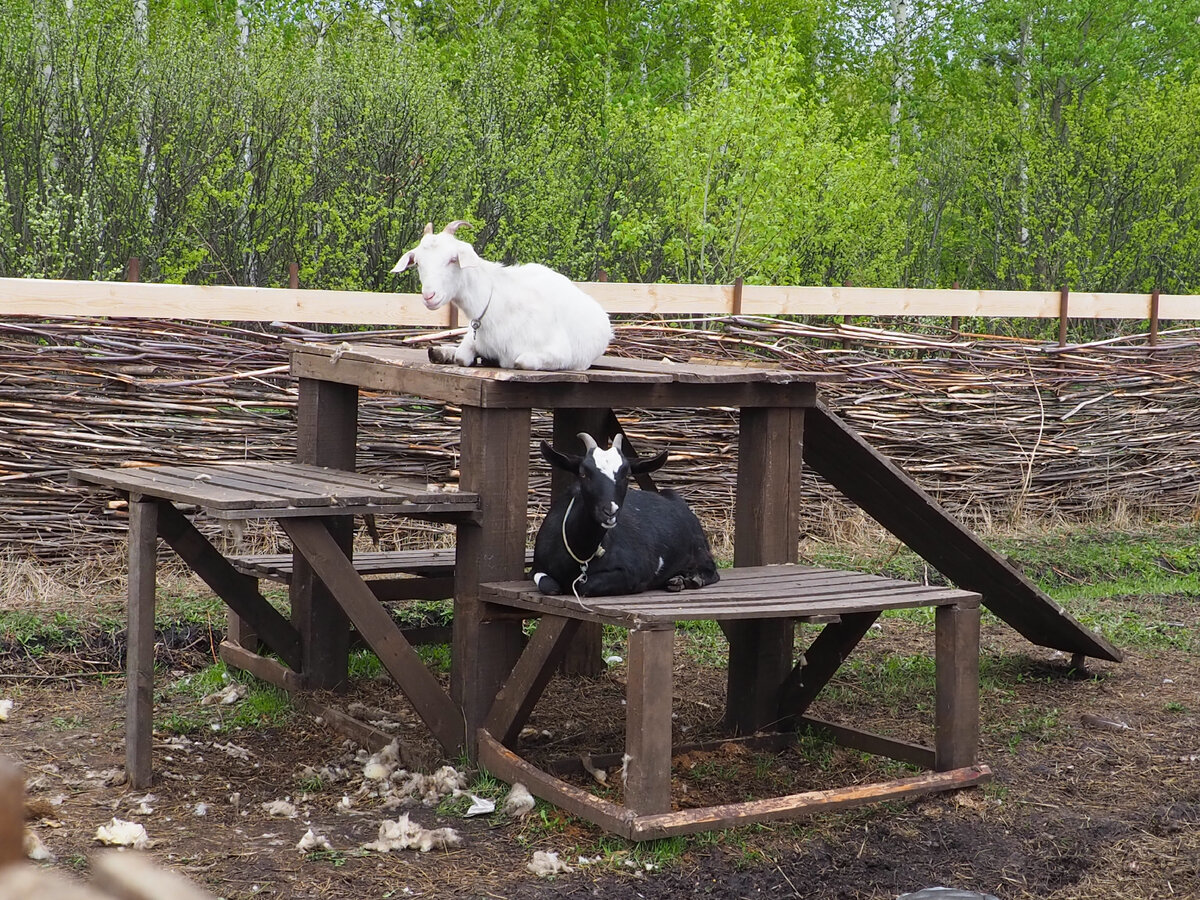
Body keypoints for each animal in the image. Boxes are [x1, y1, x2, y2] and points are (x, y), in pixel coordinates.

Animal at [393, 220, 614, 372]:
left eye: (453, 259)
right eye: (418, 262)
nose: (429, 296)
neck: (495, 304)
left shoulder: (559, 353)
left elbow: (521, 361)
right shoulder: (473, 337)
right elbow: (462, 356)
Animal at [532, 434, 715, 600]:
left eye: (627, 474)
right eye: (583, 473)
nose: (610, 511)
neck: (580, 555)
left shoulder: (633, 573)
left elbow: (583, 586)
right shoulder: (537, 568)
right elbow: (550, 585)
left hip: (699, 549)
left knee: (711, 570)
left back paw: (689, 580)